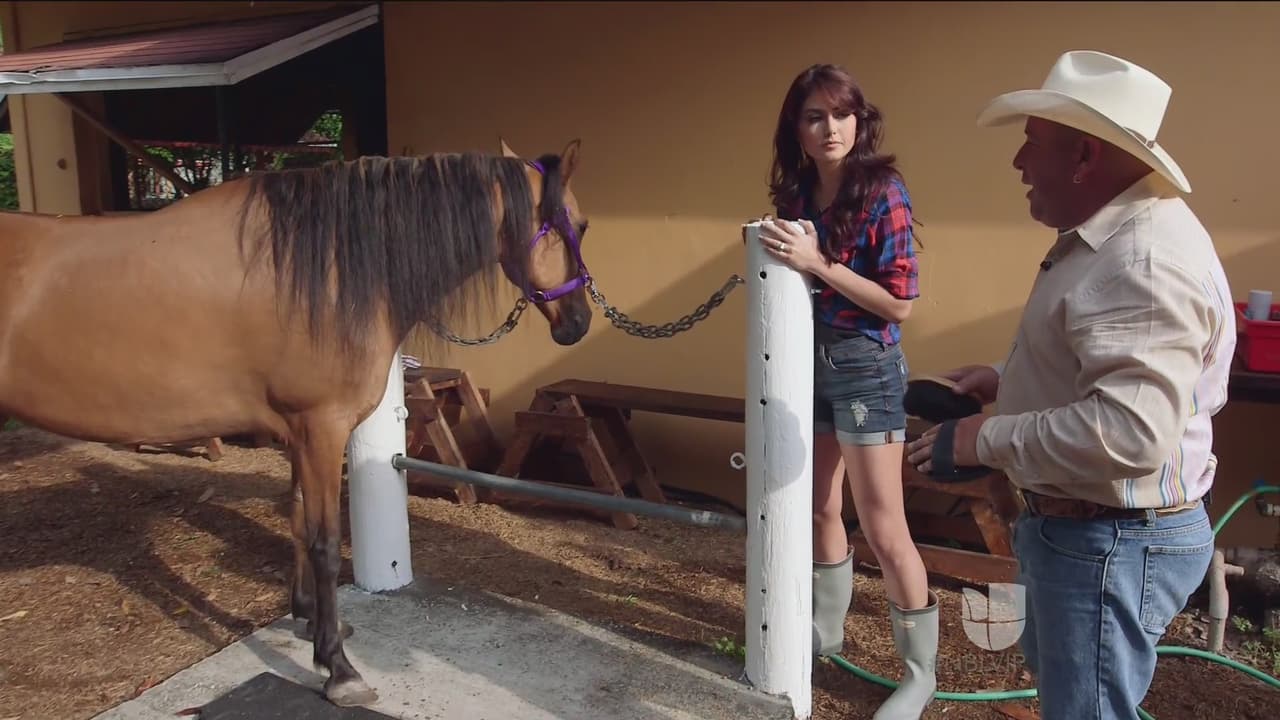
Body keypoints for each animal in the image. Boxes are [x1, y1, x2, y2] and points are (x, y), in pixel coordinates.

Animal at [0, 138, 594, 706]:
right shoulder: (321, 428)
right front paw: (338, 670)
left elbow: (297, 518)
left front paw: (308, 617)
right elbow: (326, 544)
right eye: (579, 224)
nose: (580, 322)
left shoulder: (298, 432)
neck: (326, 271)